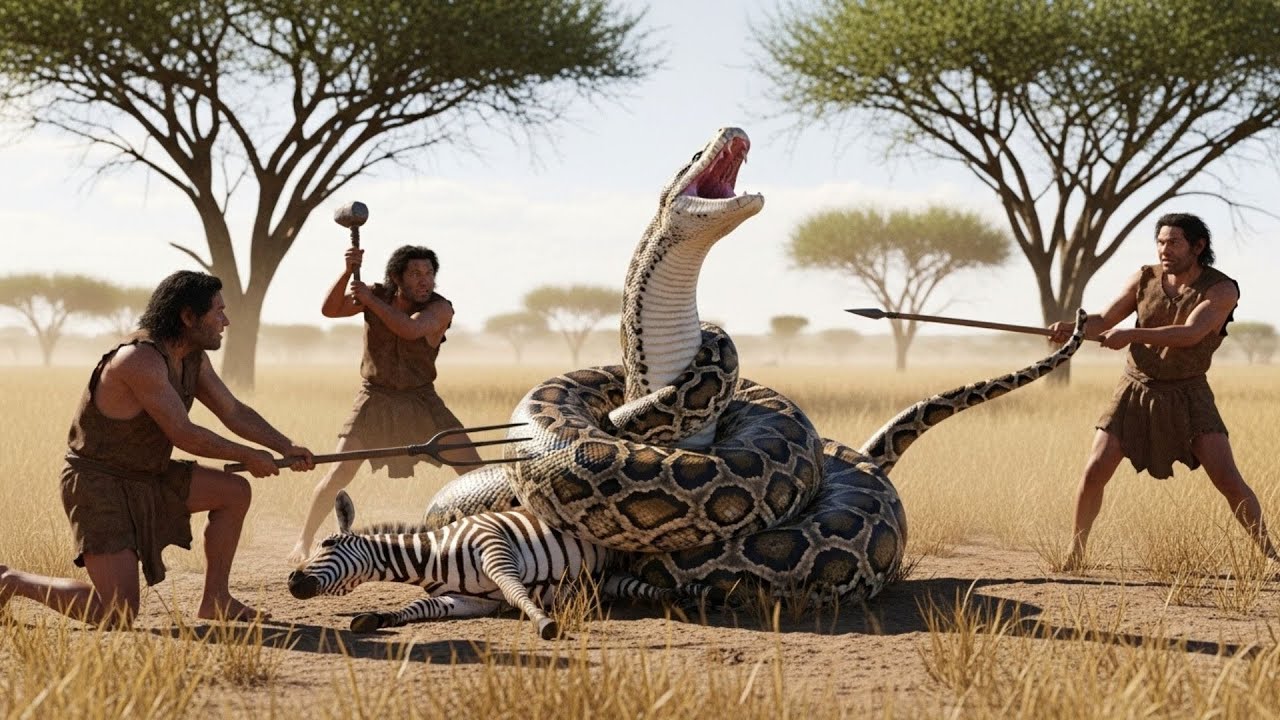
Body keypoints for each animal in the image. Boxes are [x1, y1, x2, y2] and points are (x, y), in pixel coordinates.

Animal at [288, 491, 715, 639]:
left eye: (327, 543)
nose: (292, 580)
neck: (432, 557)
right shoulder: (464, 600)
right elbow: (415, 607)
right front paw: (373, 619)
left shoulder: (495, 552)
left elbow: (517, 592)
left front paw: (545, 623)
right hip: (610, 581)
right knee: (646, 590)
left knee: (656, 588)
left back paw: (696, 593)